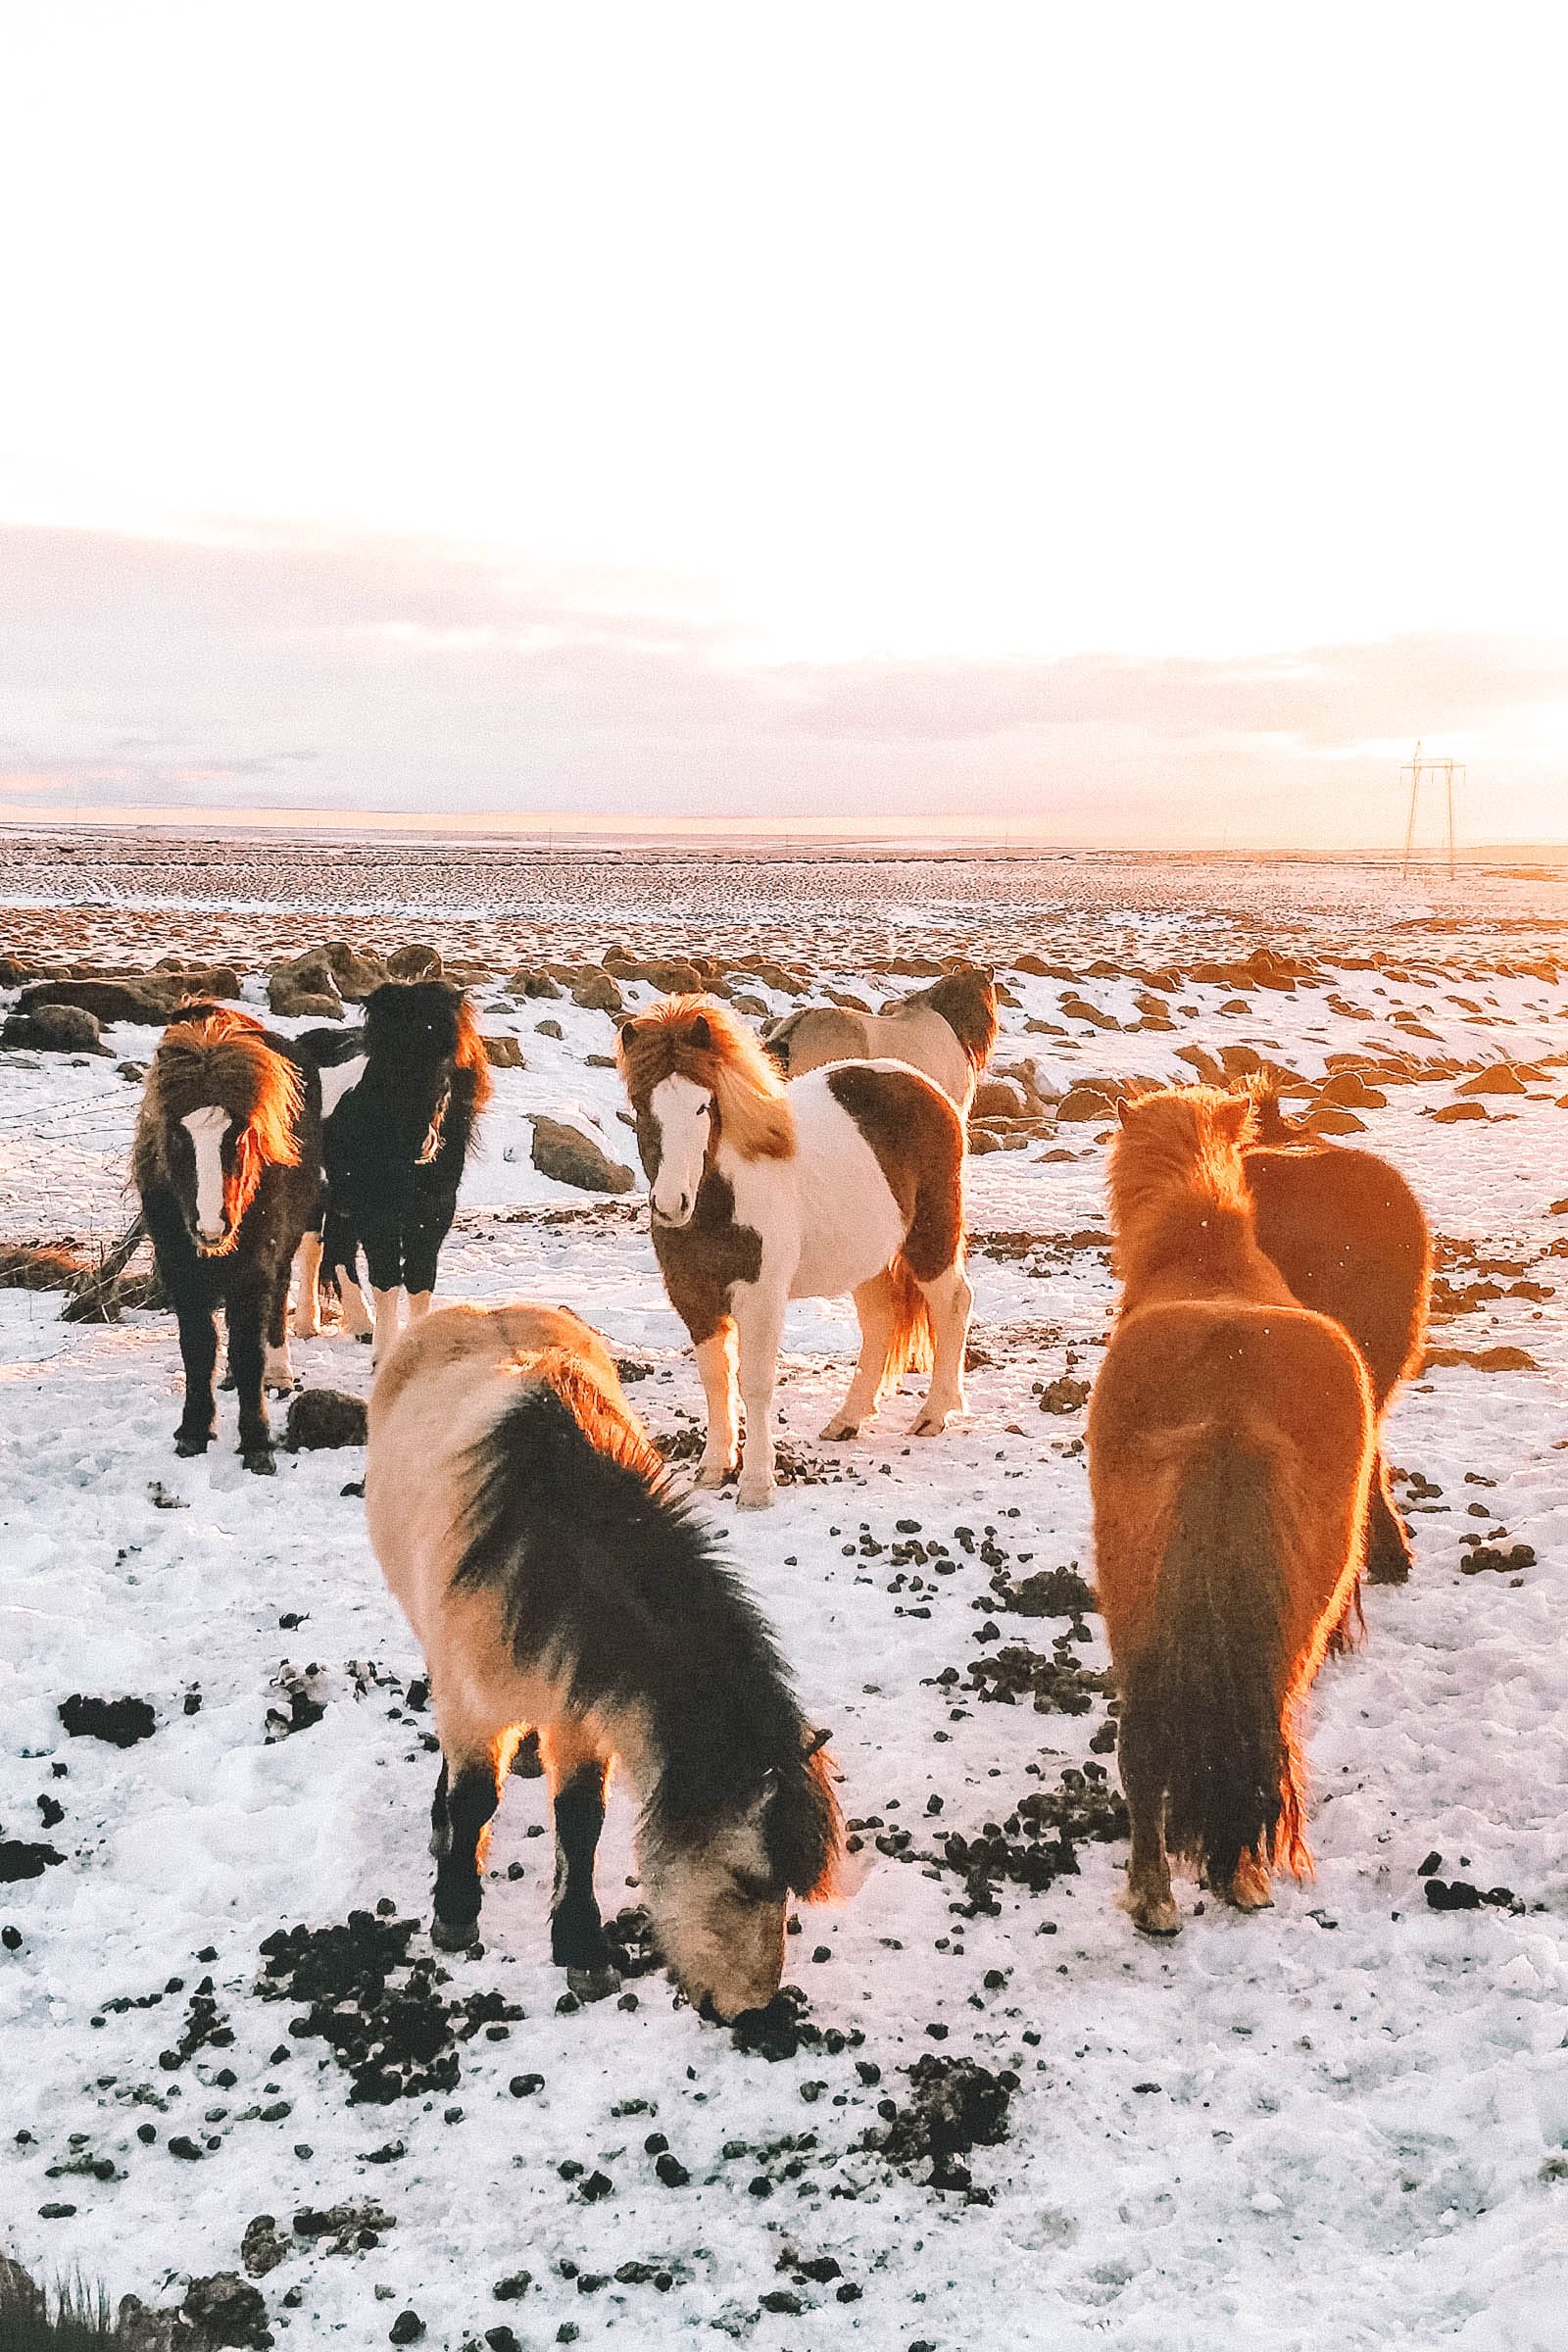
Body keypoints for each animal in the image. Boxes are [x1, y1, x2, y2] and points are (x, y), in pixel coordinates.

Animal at [132, 1006, 322, 1473]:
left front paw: (256, 1442)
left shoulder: (253, 1271)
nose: (211, 1227)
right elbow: (199, 1349)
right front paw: (194, 1432)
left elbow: (249, 1349)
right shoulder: (181, 1274)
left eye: (239, 1135)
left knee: (274, 1311)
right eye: (177, 1136)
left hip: (281, 1253)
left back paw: (278, 1374)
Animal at [293, 980, 493, 1365]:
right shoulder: (377, 1210)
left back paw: (361, 1325)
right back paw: (306, 1324)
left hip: (343, 1200)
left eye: (446, 1055)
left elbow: (419, 1281)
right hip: (315, 1190)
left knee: (339, 1251)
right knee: (312, 1247)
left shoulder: (433, 1212)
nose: (420, 1140)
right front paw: (384, 1357)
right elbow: (386, 1279)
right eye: (386, 1059)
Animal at [365, 1300, 843, 2017]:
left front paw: (581, 1946)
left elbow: (580, 1820)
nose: (754, 2009)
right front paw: (455, 1911)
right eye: (745, 1879)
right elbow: (474, 1799)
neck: (547, 1546)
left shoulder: (581, 1713)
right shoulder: (472, 1702)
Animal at [617, 995, 973, 1509]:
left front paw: (756, 1485)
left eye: (704, 1105)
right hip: (866, 1259)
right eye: (642, 1107)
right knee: (881, 1321)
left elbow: (755, 1384)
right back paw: (847, 1420)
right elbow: (716, 1379)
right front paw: (713, 1468)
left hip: (932, 1238)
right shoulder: (694, 1298)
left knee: (953, 1305)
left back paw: (934, 1414)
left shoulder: (761, 1297)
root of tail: (924, 1086)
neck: (722, 1201)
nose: (670, 1203)